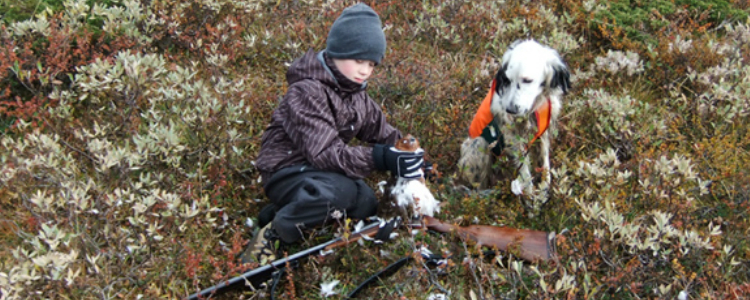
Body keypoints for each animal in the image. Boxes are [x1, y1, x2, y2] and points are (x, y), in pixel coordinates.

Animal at [456, 39, 572, 197]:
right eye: (508, 80)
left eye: (527, 80)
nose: (510, 109)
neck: (533, 107)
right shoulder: (514, 140)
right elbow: (525, 173)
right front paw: (530, 197)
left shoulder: (542, 133)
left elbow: (544, 164)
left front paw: (544, 189)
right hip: (479, 143)